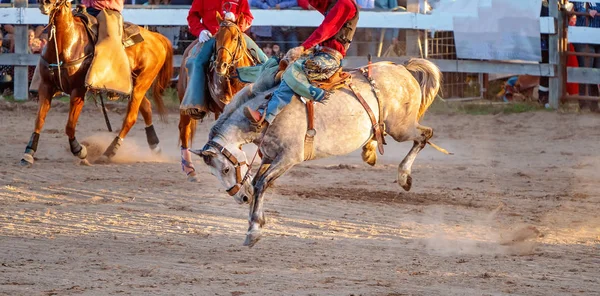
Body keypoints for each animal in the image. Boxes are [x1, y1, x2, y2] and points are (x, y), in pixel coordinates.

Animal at [21, 0, 171, 166]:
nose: (45, 3)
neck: (66, 43)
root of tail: (157, 37)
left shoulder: (78, 90)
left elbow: (70, 126)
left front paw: (79, 150)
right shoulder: (46, 87)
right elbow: (39, 120)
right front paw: (29, 152)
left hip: (142, 83)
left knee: (130, 118)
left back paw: (108, 153)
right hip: (132, 86)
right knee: (146, 108)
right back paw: (155, 146)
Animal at [175, 15, 256, 182]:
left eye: (235, 37)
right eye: (217, 37)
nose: (221, 65)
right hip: (186, 104)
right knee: (184, 130)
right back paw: (190, 169)